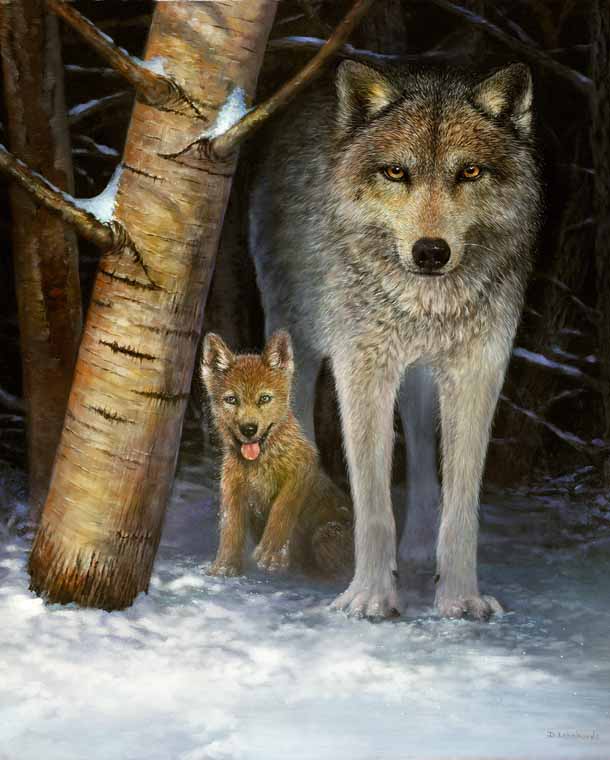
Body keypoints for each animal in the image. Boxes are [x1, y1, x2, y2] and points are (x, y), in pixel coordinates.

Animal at [200, 330, 353, 578]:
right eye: (231, 399)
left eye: (264, 398)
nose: (249, 429)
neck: (260, 464)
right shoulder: (232, 490)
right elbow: (230, 528)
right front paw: (224, 567)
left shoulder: (303, 468)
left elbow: (283, 508)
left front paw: (271, 554)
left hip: (327, 535)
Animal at [249, 61, 541, 619]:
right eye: (396, 173)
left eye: (469, 172)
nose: (430, 252)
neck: (428, 304)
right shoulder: (363, 369)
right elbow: (373, 502)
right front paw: (369, 596)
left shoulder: (478, 371)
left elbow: (462, 505)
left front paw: (459, 597)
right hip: (297, 336)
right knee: (296, 416)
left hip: (422, 380)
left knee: (425, 458)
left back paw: (419, 547)